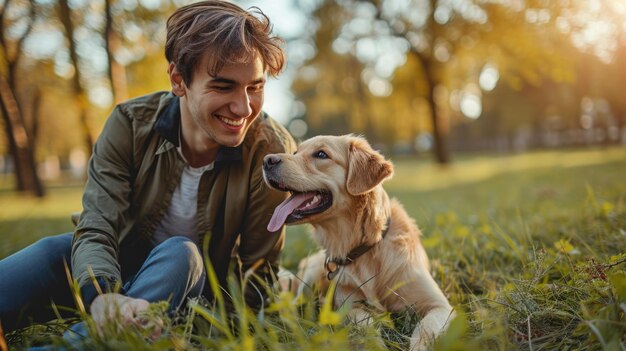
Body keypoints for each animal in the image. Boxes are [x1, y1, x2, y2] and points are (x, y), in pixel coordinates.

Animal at [262, 135, 454, 351]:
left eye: (321, 154)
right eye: (295, 152)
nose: (267, 160)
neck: (366, 246)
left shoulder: (439, 305)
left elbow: (424, 330)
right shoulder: (350, 305)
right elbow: (366, 327)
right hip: (309, 279)